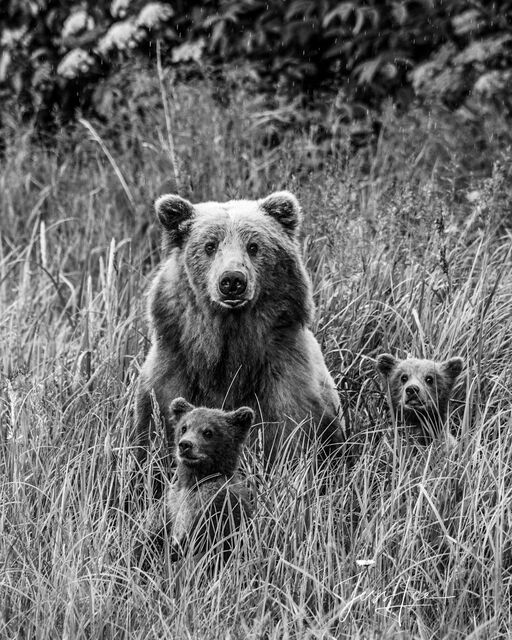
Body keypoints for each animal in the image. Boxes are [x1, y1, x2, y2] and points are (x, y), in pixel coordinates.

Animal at [135, 190, 344, 464]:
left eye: (253, 246)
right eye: (210, 245)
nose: (232, 280)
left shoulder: (282, 375)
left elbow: (286, 433)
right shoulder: (175, 366)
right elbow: (156, 425)